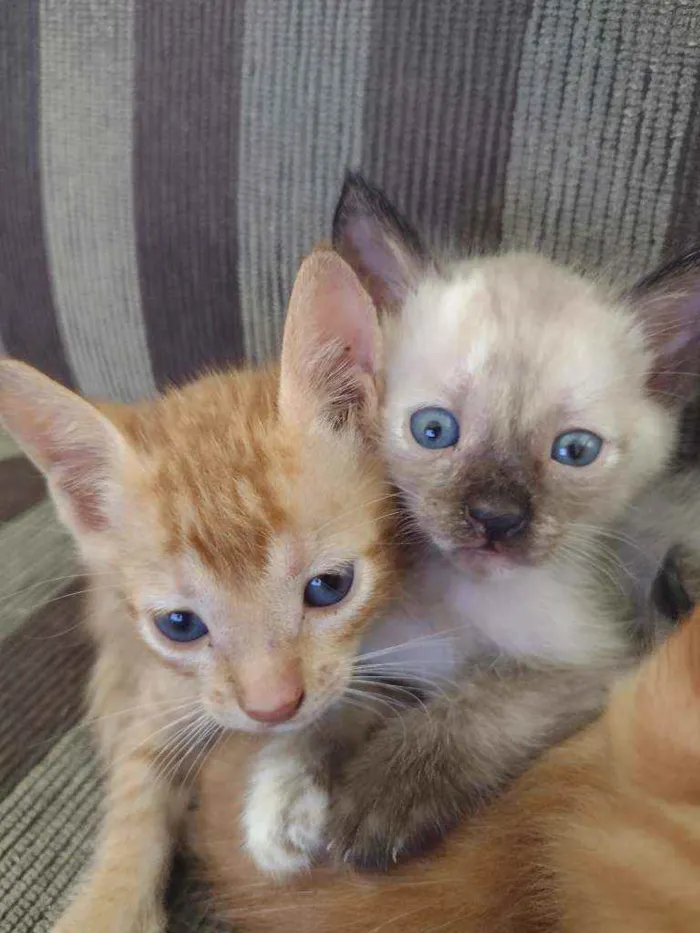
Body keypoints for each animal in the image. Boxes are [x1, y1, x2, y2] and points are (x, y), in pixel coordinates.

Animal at [0, 249, 396, 932]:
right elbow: (135, 794)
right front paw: (107, 905)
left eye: (329, 587)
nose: (271, 708)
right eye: (180, 626)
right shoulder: (157, 699)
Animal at [239, 175, 700, 872]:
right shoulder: (375, 657)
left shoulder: (593, 663)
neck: (453, 601)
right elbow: (324, 709)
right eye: (434, 431)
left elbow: (475, 703)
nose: (495, 520)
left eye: (575, 451)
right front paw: (284, 804)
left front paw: (381, 796)